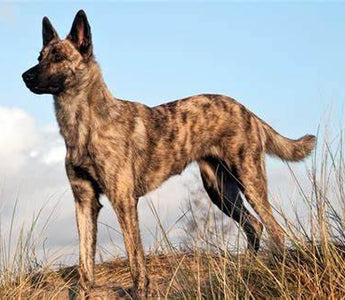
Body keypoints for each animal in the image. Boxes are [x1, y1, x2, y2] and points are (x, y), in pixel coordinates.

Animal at [22, 9, 316, 300]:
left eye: (58, 57)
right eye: (39, 56)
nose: (25, 76)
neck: (84, 125)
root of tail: (247, 110)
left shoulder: (123, 200)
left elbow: (135, 258)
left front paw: (140, 291)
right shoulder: (84, 201)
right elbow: (85, 263)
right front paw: (83, 293)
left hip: (249, 182)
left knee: (274, 229)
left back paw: (274, 267)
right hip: (220, 191)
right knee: (254, 225)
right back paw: (247, 270)